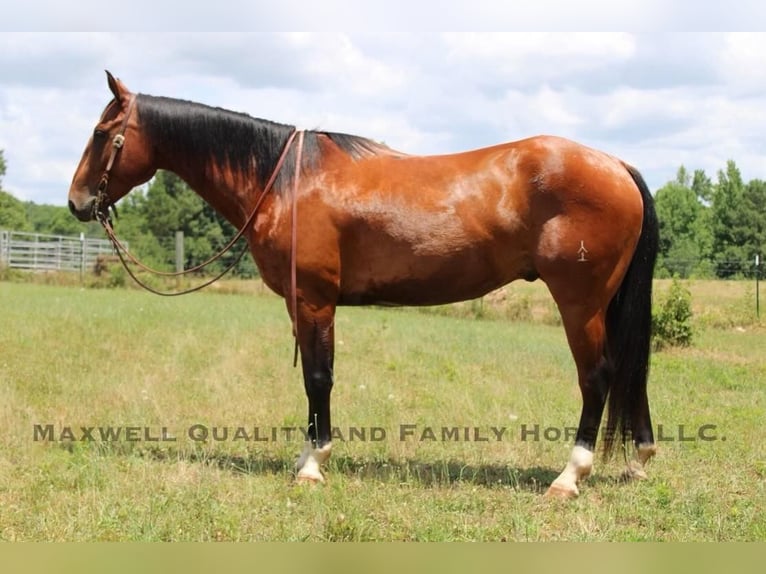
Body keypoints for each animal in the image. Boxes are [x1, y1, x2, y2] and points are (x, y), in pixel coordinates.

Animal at [68, 71, 659, 498]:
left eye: (99, 135)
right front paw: (306, 456)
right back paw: (639, 460)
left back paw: (569, 476)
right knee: (629, 374)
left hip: (580, 303)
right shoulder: (302, 305)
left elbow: (318, 378)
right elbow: (313, 379)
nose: (77, 202)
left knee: (597, 377)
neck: (286, 180)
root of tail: (616, 164)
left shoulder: (313, 300)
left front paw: (313, 465)